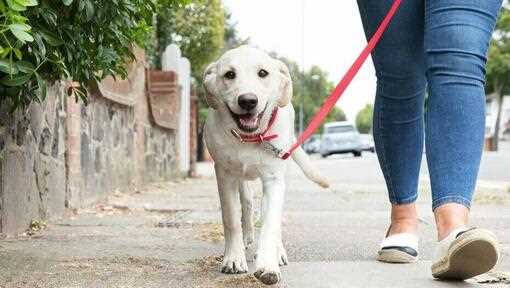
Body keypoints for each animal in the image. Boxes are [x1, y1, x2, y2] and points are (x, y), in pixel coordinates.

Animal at [202, 46, 326, 284]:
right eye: (229, 74)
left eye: (263, 73)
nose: (248, 100)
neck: (249, 138)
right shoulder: (225, 175)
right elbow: (231, 219)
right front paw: (234, 258)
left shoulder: (274, 179)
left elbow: (270, 224)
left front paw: (268, 265)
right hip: (241, 178)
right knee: (248, 203)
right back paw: (247, 237)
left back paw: (277, 252)